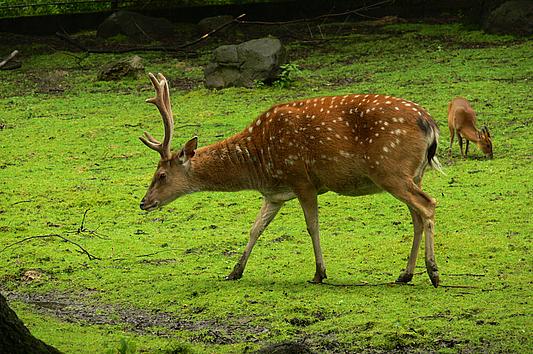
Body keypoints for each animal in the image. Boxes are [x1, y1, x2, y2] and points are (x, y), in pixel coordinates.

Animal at [137, 73, 440, 290]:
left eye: (161, 175)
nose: (144, 202)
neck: (260, 163)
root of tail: (430, 123)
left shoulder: (302, 179)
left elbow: (312, 226)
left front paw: (319, 273)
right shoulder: (274, 194)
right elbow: (255, 228)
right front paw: (234, 271)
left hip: (391, 170)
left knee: (428, 205)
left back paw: (433, 272)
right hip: (413, 174)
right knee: (416, 216)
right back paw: (405, 274)